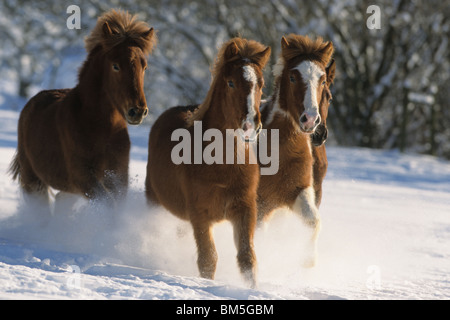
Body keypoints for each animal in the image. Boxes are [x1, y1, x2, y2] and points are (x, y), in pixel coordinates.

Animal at [9, 9, 156, 210]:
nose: (138, 111)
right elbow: (108, 203)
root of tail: (29, 105)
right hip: (33, 180)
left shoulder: (118, 175)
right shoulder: (83, 177)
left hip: (67, 189)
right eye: (116, 66)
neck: (101, 128)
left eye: (145, 66)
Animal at [146, 38, 268, 288]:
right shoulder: (199, 213)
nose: (251, 125)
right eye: (231, 83)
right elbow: (208, 259)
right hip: (155, 202)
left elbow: (247, 258)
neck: (222, 164)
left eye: (261, 83)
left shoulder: (244, 208)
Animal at [256, 33, 334, 268]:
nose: (310, 120)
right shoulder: (260, 204)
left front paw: (307, 260)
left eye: (322, 80)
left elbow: (313, 222)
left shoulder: (299, 191)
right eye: (292, 77)